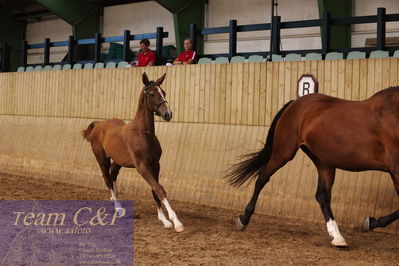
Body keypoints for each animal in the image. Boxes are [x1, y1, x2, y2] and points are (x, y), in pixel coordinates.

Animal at [83, 71, 186, 232]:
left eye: (163, 92)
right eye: (151, 94)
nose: (168, 114)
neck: (143, 133)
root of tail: (99, 124)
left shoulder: (155, 165)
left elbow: (154, 189)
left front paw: (164, 220)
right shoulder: (142, 166)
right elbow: (159, 189)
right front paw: (176, 222)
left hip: (118, 161)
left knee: (113, 176)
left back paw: (114, 199)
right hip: (101, 159)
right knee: (107, 178)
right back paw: (118, 208)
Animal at [228, 87, 399, 247]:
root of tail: (295, 103)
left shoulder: (394, 172)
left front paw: (370, 222)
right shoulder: (396, 169)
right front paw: (369, 222)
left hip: (324, 162)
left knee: (322, 196)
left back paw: (337, 237)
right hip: (284, 152)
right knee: (262, 178)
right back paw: (243, 219)